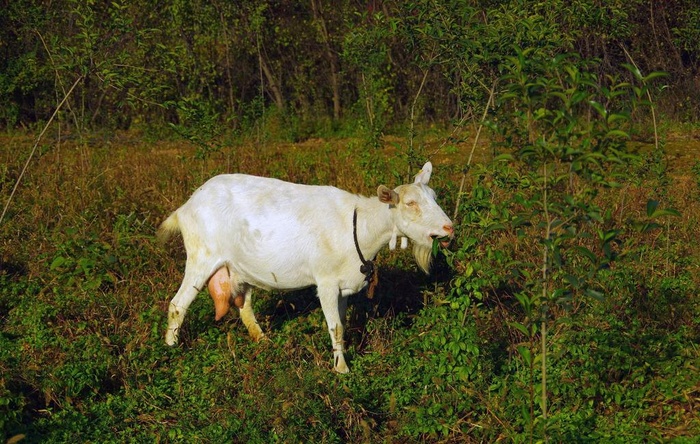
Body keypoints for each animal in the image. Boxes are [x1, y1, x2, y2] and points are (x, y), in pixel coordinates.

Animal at [158, 161, 454, 372]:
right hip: (201, 256)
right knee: (178, 304)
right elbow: (335, 327)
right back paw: (171, 348)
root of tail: (186, 207)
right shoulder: (326, 282)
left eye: (434, 197)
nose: (449, 228)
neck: (358, 227)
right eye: (411, 203)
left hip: (239, 268)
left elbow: (341, 324)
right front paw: (342, 369)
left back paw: (263, 341)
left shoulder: (343, 287)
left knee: (245, 308)